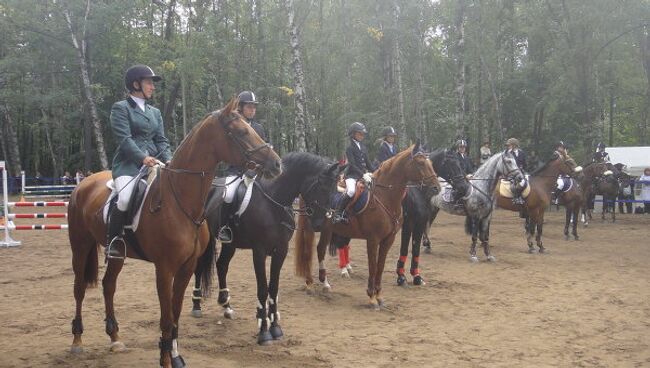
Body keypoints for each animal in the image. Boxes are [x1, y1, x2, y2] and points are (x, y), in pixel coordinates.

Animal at [67, 98, 280, 368]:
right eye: (242, 132)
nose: (277, 164)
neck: (179, 201)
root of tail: (83, 184)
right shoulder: (165, 268)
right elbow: (166, 316)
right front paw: (166, 358)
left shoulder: (186, 267)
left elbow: (176, 312)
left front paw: (175, 355)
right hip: (80, 245)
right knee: (79, 288)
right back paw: (77, 341)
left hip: (118, 254)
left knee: (108, 286)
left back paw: (114, 338)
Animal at [187, 152, 342, 344]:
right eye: (322, 186)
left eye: (335, 189)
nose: (320, 224)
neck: (274, 203)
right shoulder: (259, 252)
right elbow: (262, 289)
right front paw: (264, 331)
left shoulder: (281, 251)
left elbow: (273, 288)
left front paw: (275, 327)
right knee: (199, 268)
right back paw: (196, 305)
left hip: (231, 244)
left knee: (222, 265)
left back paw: (227, 307)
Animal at [294, 144, 440, 308]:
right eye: (420, 163)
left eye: (431, 164)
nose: (436, 188)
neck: (384, 197)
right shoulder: (373, 239)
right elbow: (373, 265)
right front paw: (371, 297)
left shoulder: (388, 240)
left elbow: (380, 266)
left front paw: (379, 296)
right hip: (312, 227)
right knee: (309, 251)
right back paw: (310, 283)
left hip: (328, 229)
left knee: (321, 250)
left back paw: (325, 283)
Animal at [392, 148, 468, 286]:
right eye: (450, 163)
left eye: (460, 163)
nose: (463, 187)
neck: (417, 192)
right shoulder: (408, 223)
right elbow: (404, 248)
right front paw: (401, 277)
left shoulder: (420, 222)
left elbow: (416, 248)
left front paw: (416, 276)